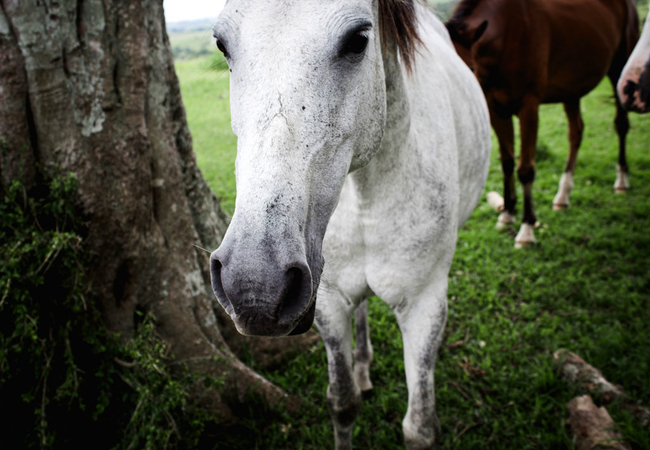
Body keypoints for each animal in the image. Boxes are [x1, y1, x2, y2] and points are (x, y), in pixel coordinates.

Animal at [210, 0, 488, 446]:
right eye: (222, 44)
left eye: (357, 40)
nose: (254, 287)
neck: (364, 193)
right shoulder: (329, 300)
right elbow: (342, 402)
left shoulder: (425, 305)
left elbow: (420, 427)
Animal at [446, 0, 636, 248]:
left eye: (467, 70)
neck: (506, 32)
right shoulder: (495, 108)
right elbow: (507, 161)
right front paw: (507, 213)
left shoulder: (529, 105)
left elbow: (525, 169)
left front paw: (527, 228)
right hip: (571, 90)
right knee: (576, 132)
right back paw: (563, 196)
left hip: (620, 72)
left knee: (621, 125)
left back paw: (621, 180)